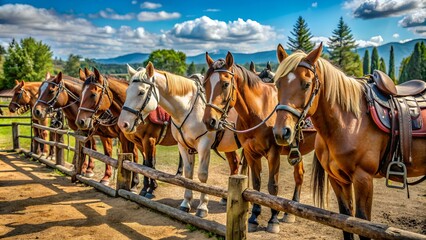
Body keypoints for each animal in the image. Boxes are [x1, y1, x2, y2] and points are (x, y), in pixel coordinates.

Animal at [76, 68, 180, 197]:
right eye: (81, 93)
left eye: (93, 94)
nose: (80, 121)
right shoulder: (138, 142)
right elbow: (141, 163)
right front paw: (142, 187)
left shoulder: (148, 140)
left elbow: (149, 163)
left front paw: (149, 189)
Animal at [116, 63, 243, 218]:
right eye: (127, 91)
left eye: (141, 92)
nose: (122, 124)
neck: (189, 109)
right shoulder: (183, 146)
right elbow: (187, 175)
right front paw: (186, 203)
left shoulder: (204, 146)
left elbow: (202, 176)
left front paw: (202, 207)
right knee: (235, 164)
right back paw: (226, 198)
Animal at [202, 52, 316, 232]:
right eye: (205, 84)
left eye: (225, 84)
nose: (209, 121)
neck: (257, 111)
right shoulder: (250, 153)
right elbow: (256, 183)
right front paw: (254, 216)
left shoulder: (273, 154)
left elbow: (272, 186)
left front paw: (273, 219)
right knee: (299, 175)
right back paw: (290, 212)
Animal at [272, 43, 426, 240]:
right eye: (277, 83)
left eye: (306, 84)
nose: (281, 132)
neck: (349, 121)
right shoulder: (338, 180)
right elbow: (346, 220)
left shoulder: (363, 179)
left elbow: (363, 225)